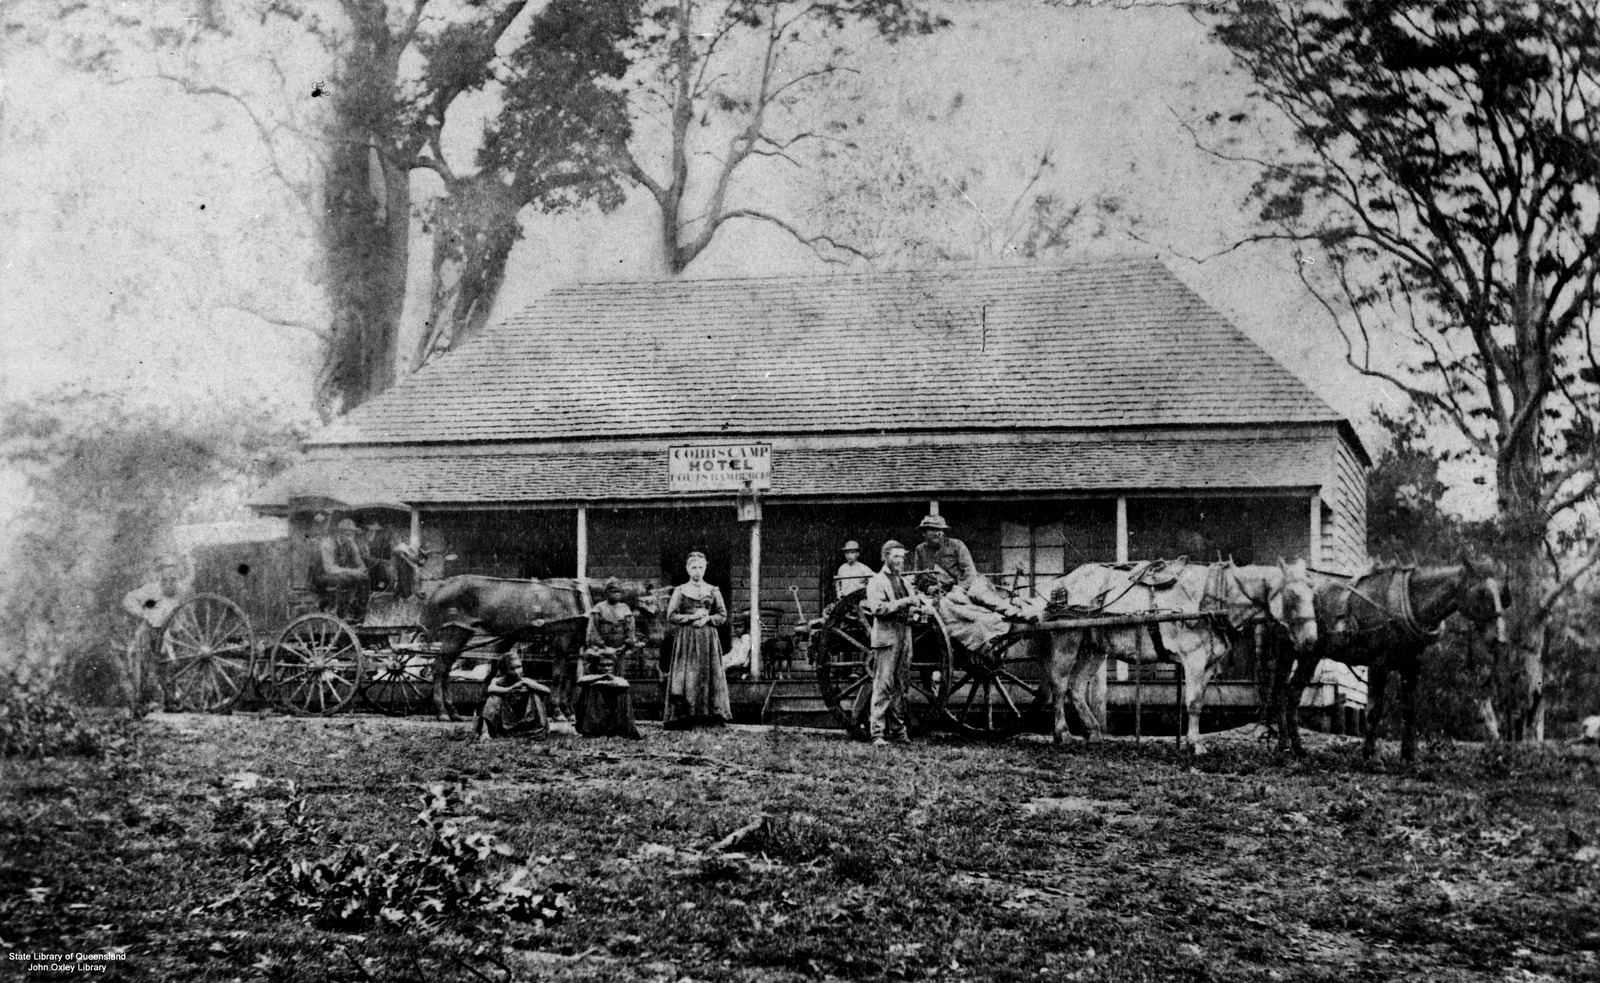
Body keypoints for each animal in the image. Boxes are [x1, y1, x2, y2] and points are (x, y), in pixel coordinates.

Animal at [419, 576, 668, 723]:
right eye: (648, 610)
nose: (658, 639)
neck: (576, 598)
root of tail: (440, 588)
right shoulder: (561, 640)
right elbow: (558, 676)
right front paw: (558, 711)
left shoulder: (572, 645)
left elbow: (569, 679)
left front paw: (569, 711)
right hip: (455, 632)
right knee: (440, 669)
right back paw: (442, 711)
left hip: (462, 635)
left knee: (445, 670)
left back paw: (452, 712)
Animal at [1043, 557, 1318, 758]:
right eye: (1293, 596)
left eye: (1313, 596)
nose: (1311, 641)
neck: (1215, 597)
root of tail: (1064, 580)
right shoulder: (1194, 659)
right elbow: (1193, 702)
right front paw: (1195, 744)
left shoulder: (1208, 663)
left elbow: (1200, 701)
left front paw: (1189, 741)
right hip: (1067, 637)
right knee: (1059, 684)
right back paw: (1063, 734)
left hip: (1094, 647)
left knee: (1076, 686)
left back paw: (1093, 732)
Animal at [1267, 563, 1504, 762]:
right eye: (1482, 593)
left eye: (1502, 595)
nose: (1498, 638)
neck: (1407, 602)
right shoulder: (1378, 663)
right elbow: (1375, 709)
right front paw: (1371, 756)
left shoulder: (1411, 666)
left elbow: (1409, 709)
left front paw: (1410, 756)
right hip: (1288, 652)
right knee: (1281, 693)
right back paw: (1285, 744)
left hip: (1310, 655)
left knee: (1292, 694)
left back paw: (1297, 747)